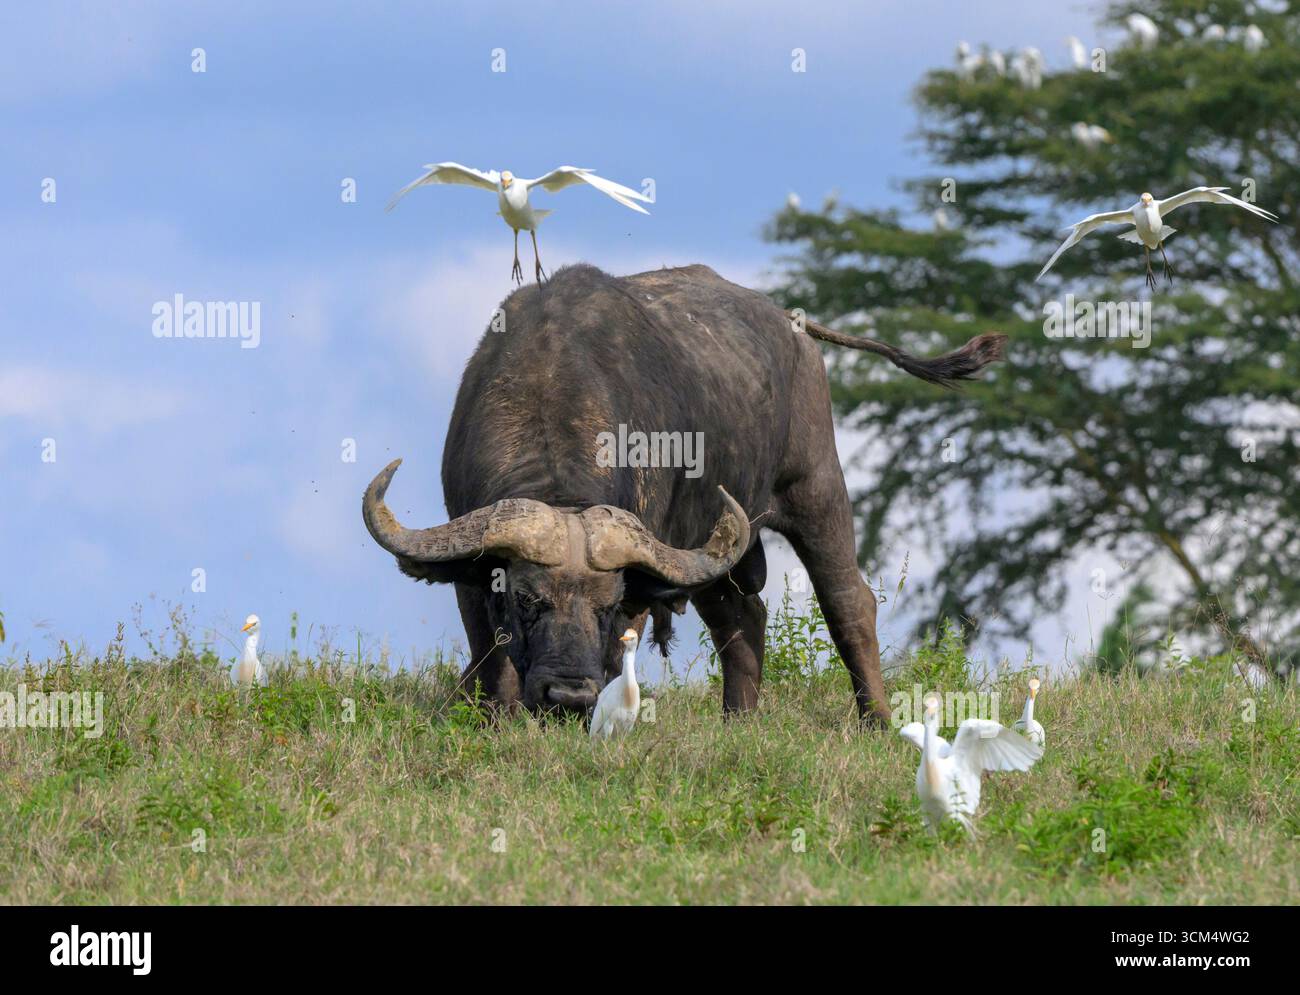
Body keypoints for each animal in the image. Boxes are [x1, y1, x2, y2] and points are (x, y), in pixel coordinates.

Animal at [363, 264, 1004, 724]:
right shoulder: (471, 576)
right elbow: (491, 658)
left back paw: (876, 722)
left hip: (818, 488)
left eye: (608, 605)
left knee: (849, 602)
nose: (570, 697)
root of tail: (793, 326)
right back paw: (738, 722)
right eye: (525, 599)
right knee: (741, 617)